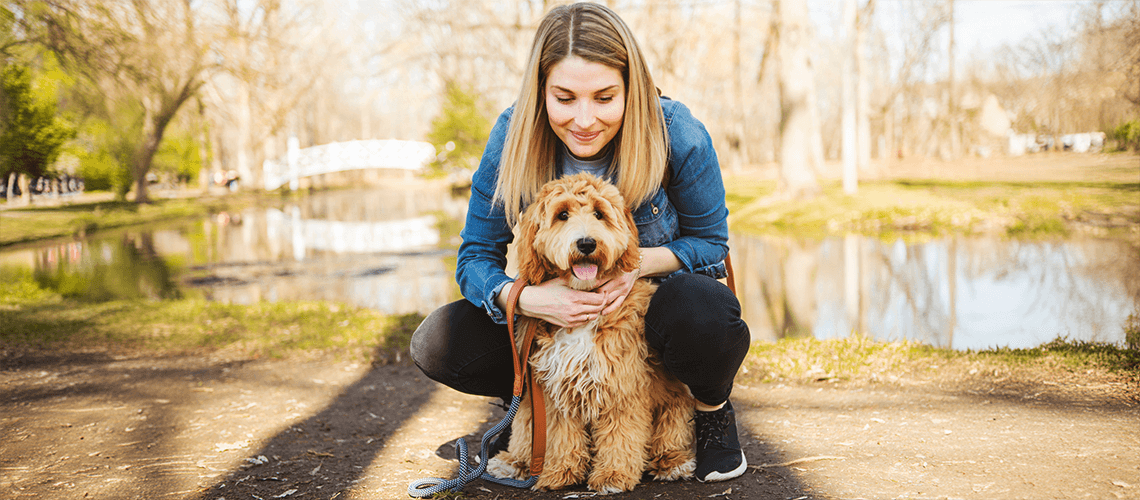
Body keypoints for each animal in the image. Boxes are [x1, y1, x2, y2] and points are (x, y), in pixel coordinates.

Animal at [483, 174, 693, 494]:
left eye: (599, 214)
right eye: (562, 215)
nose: (586, 243)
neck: (586, 295)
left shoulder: (622, 385)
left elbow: (621, 434)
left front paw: (613, 475)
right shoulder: (555, 388)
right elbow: (561, 435)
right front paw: (561, 472)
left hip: (673, 404)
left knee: (669, 435)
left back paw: (672, 462)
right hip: (530, 403)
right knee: (524, 429)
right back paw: (515, 462)